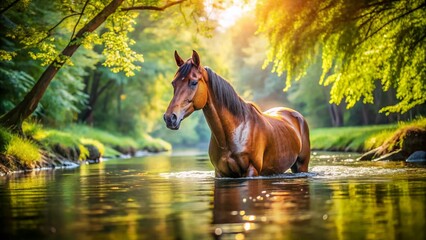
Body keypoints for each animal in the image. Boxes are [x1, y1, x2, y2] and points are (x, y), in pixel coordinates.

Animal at [164, 51, 310, 178]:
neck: (234, 131)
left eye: (193, 82)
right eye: (173, 83)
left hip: (301, 165)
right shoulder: (220, 172)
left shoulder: (251, 170)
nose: (170, 118)